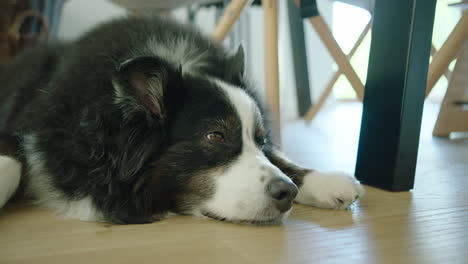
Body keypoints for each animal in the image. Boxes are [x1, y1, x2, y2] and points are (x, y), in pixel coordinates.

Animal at [0, 14, 364, 225]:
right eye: (215, 136)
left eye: (260, 139)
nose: (287, 192)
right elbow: (14, 162)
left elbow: (280, 158)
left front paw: (325, 181)